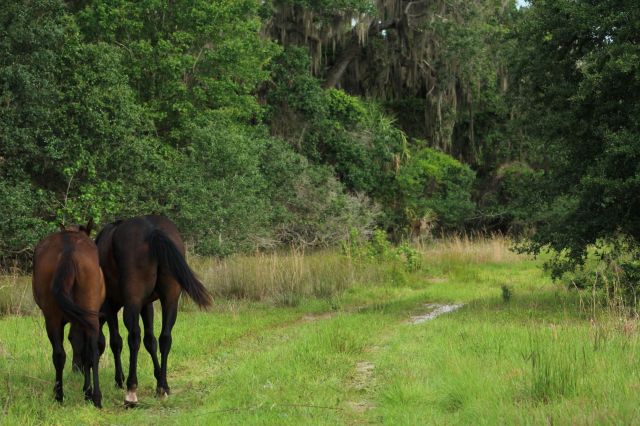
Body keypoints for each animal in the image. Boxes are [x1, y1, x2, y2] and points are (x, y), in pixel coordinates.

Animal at [32, 220, 105, 407]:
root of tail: (68, 251)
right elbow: (82, 348)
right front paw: (86, 390)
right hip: (89, 317)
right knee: (91, 351)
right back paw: (95, 396)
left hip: (53, 318)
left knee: (59, 354)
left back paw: (60, 395)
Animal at [95, 215, 212, 406]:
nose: (77, 368)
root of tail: (152, 230)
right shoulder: (147, 305)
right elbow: (151, 341)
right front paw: (160, 379)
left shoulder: (110, 306)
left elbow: (116, 342)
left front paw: (119, 380)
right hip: (170, 298)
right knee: (165, 337)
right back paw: (162, 387)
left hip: (133, 302)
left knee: (134, 337)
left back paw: (131, 390)